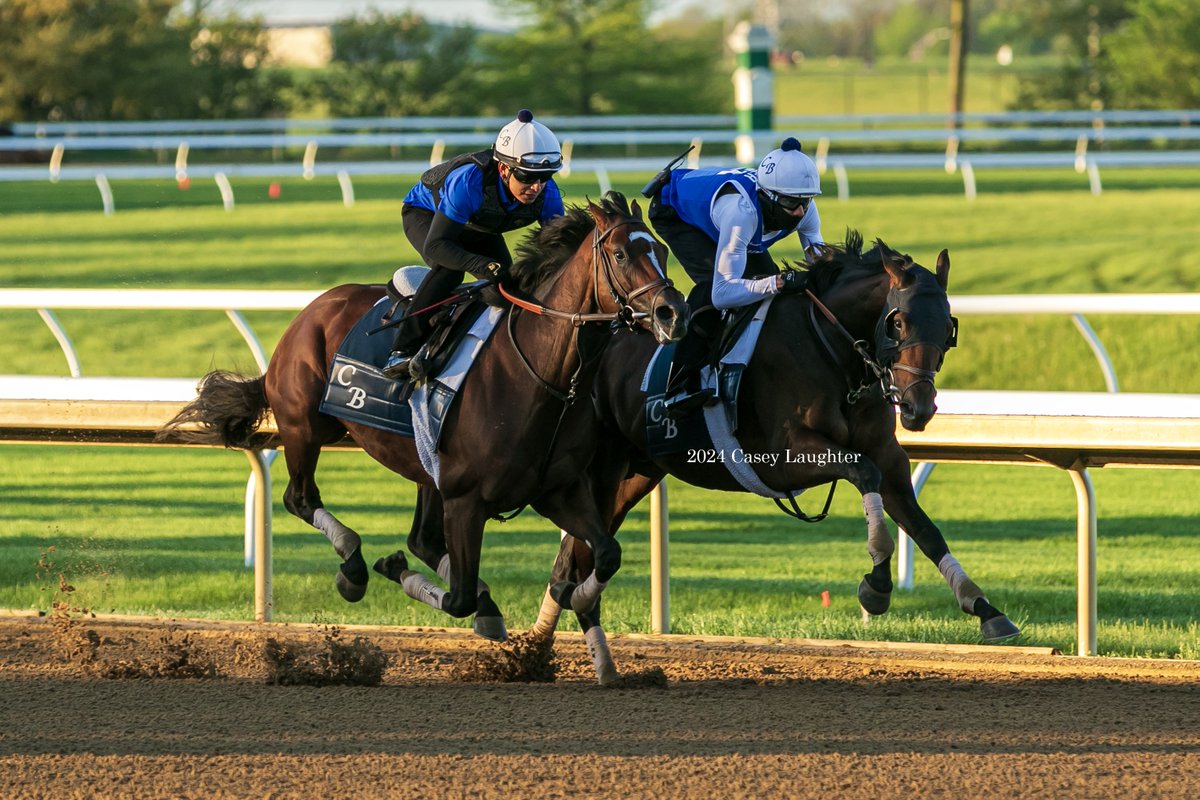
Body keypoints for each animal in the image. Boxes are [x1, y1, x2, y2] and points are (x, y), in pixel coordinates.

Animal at [160, 191, 691, 638]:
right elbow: (457, 598)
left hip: (422, 463)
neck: (540, 375)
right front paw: (393, 570)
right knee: (301, 498)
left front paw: (569, 596)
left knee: (422, 539)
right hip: (304, 425)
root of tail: (310, 312)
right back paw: (353, 566)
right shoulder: (466, 499)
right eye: (620, 255)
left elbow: (606, 553)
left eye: (663, 251)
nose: (672, 313)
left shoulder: (555, 489)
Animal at [530, 231, 1017, 681]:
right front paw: (877, 585)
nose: (918, 408)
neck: (831, 351)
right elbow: (863, 472)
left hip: (634, 474)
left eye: (948, 326)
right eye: (898, 323)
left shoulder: (889, 455)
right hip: (597, 471)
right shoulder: (782, 460)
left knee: (571, 561)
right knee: (578, 557)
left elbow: (924, 528)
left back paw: (544, 648)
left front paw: (985, 607)